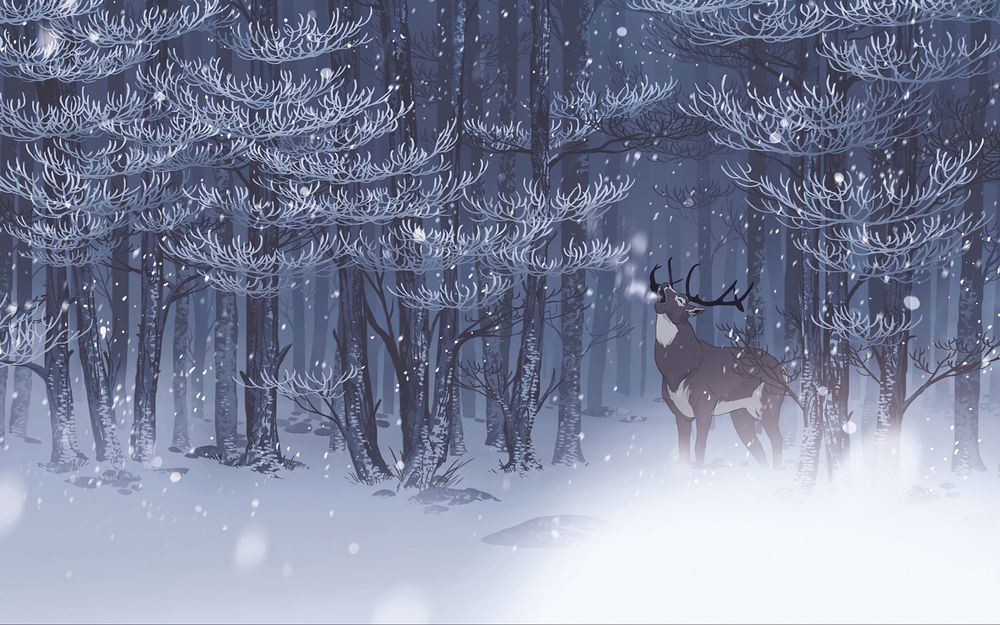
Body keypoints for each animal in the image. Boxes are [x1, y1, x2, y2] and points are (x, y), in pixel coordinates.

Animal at [649, 259, 786, 467]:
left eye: (682, 300)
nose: (664, 284)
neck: (678, 371)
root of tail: (783, 370)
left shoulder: (704, 404)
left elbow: (699, 448)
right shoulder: (680, 412)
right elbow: (683, 450)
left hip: (769, 403)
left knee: (777, 439)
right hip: (741, 412)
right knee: (756, 446)